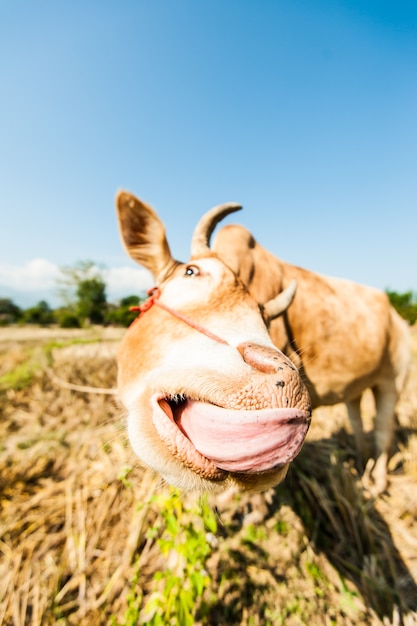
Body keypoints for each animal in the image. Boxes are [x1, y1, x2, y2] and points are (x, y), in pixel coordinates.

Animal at [211, 214, 410, 492]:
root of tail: (397, 317)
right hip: (356, 390)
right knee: (358, 421)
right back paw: (360, 467)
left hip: (393, 380)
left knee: (383, 427)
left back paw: (377, 483)